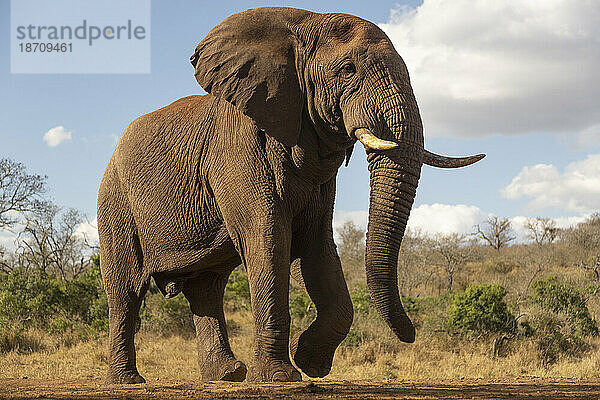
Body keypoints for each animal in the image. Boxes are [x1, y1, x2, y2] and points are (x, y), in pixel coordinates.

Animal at [97, 7, 482, 384]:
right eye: (347, 69)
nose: (412, 334)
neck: (302, 23)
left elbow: (316, 245)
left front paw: (310, 362)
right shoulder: (239, 151)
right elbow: (269, 240)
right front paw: (280, 377)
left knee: (206, 288)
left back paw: (227, 376)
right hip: (115, 201)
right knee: (126, 290)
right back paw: (128, 381)